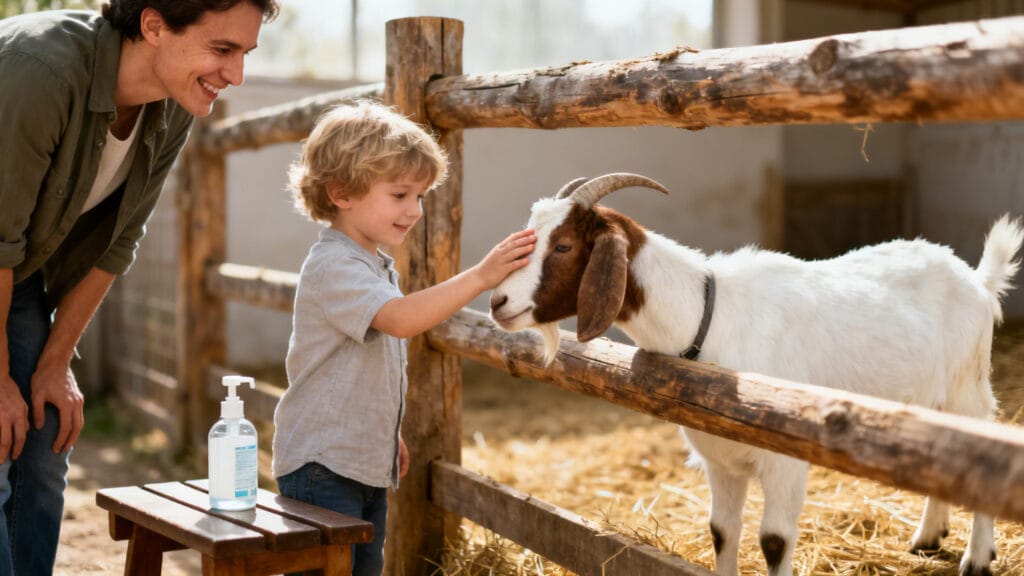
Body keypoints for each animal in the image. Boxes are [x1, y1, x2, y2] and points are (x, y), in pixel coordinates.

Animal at [489, 173, 1023, 576]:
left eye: (562, 245)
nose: (498, 302)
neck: (705, 314)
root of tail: (976, 280)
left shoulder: (784, 457)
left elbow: (774, 541)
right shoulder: (720, 460)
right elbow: (722, 532)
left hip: (966, 387)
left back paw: (977, 557)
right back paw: (928, 537)